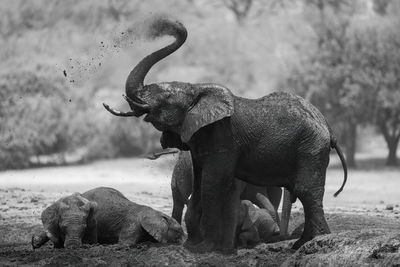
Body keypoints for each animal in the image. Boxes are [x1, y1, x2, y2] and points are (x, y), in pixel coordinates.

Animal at [102, 16, 346, 253]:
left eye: (165, 99)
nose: (176, 25)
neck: (196, 89)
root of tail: (328, 127)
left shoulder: (222, 137)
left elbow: (211, 184)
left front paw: (205, 249)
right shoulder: (199, 140)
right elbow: (200, 182)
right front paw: (192, 247)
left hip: (310, 148)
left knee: (306, 191)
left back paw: (313, 242)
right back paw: (299, 244)